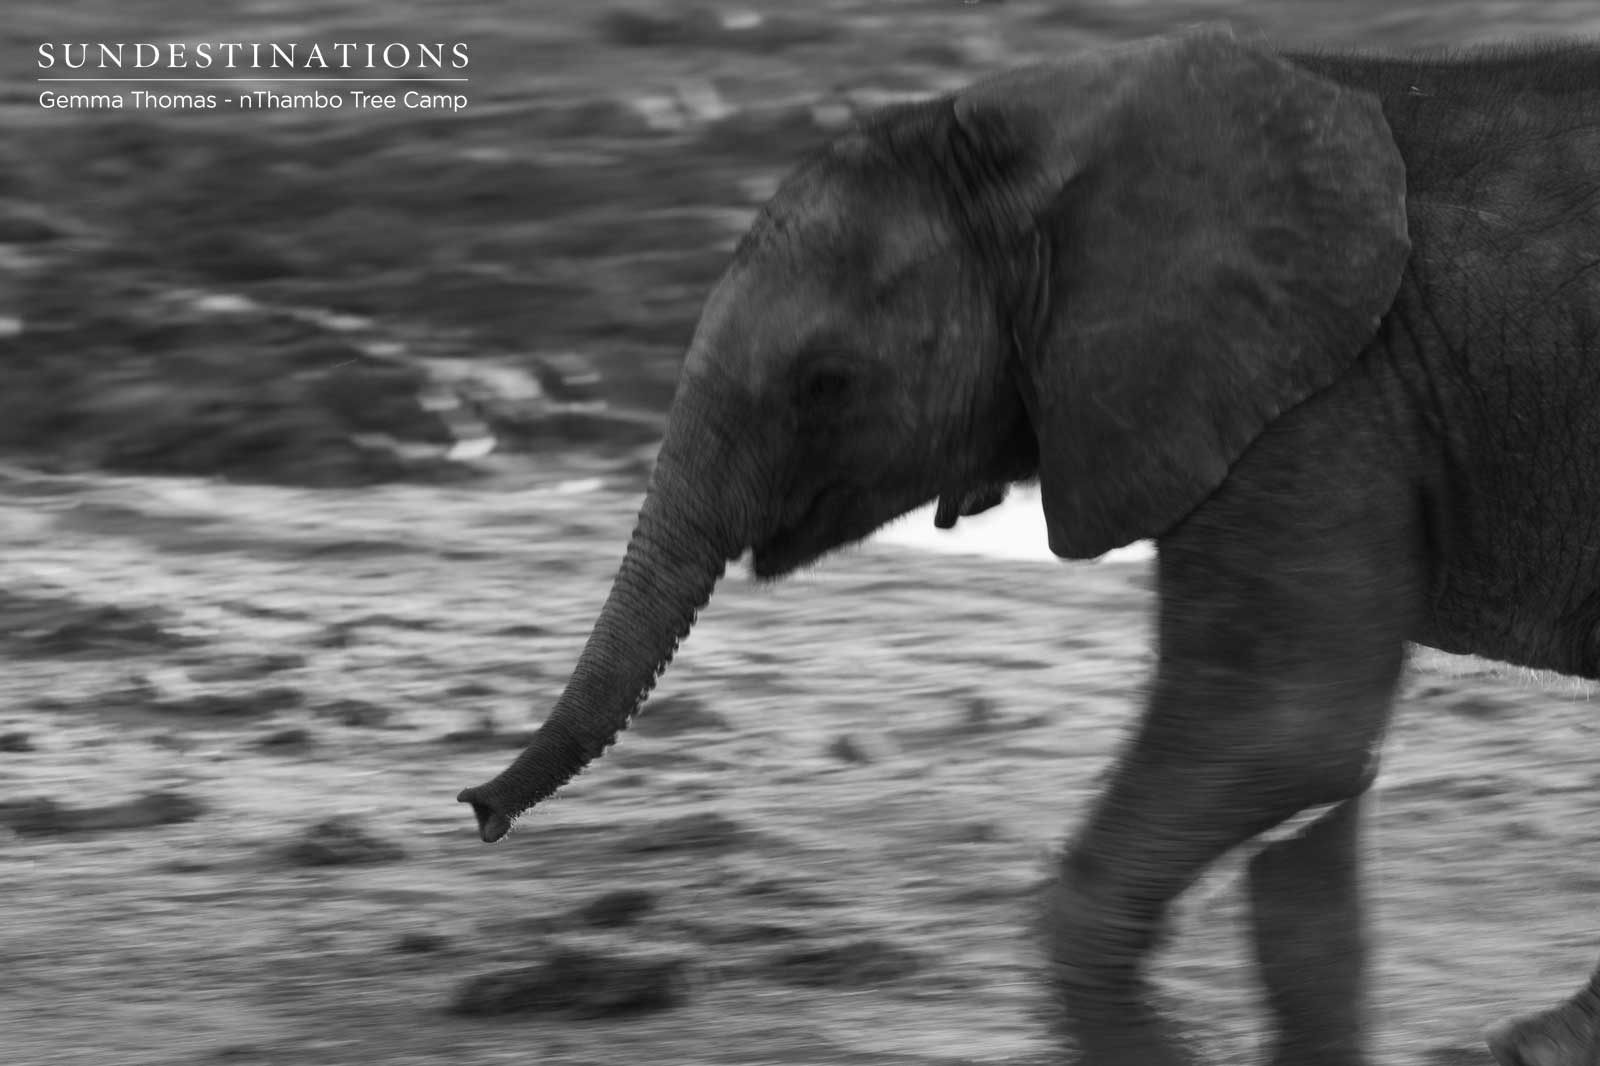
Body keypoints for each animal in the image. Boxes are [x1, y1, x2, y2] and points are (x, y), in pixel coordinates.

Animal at [458, 26, 1600, 1066]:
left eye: (826, 382)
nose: (476, 812)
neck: (1045, 137)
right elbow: (1308, 808)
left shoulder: (1315, 394)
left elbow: (1278, 737)